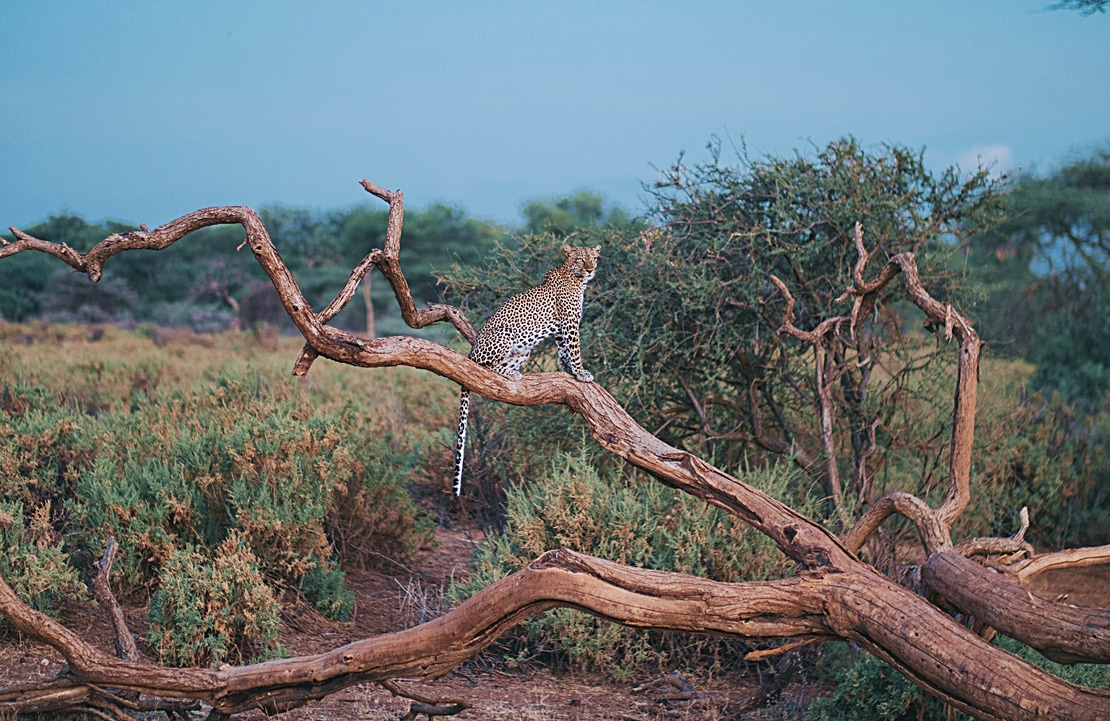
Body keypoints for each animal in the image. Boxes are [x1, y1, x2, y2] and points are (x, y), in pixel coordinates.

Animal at [452, 242, 603, 494]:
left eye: (593, 258)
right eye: (580, 260)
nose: (591, 270)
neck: (576, 279)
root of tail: (471, 350)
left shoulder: (560, 331)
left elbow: (565, 353)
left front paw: (570, 371)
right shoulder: (570, 324)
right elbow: (575, 350)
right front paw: (582, 372)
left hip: (524, 350)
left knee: (498, 366)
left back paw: (513, 373)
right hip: (505, 335)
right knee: (483, 367)